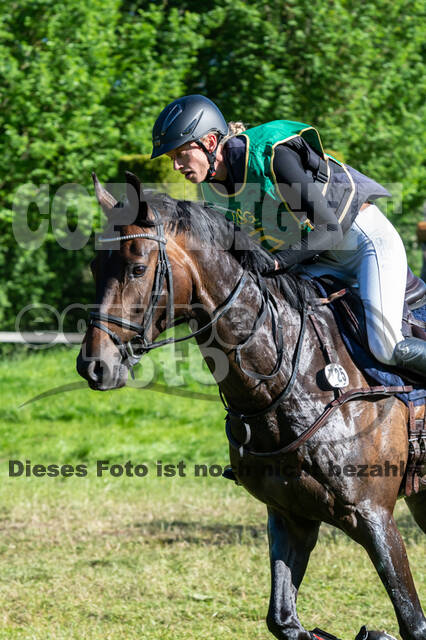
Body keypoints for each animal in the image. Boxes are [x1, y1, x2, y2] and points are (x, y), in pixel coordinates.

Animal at [77, 171, 425, 640]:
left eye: (137, 268)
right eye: (95, 268)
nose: (94, 366)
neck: (292, 380)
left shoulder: (373, 516)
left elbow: (413, 623)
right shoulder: (290, 515)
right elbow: (284, 620)